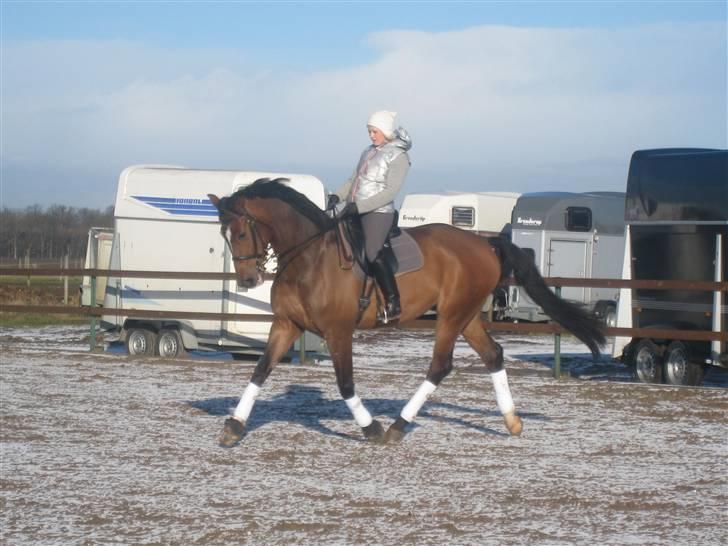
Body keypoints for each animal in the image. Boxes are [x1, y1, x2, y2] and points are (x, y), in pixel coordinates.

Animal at [208, 178, 604, 446]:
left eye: (240, 233)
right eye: (224, 235)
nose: (247, 279)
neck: (309, 257)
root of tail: (485, 243)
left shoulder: (338, 331)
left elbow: (345, 383)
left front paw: (370, 427)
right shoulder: (286, 325)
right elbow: (260, 371)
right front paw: (234, 426)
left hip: (451, 316)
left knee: (440, 365)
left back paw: (398, 425)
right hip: (467, 315)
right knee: (493, 354)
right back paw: (512, 422)